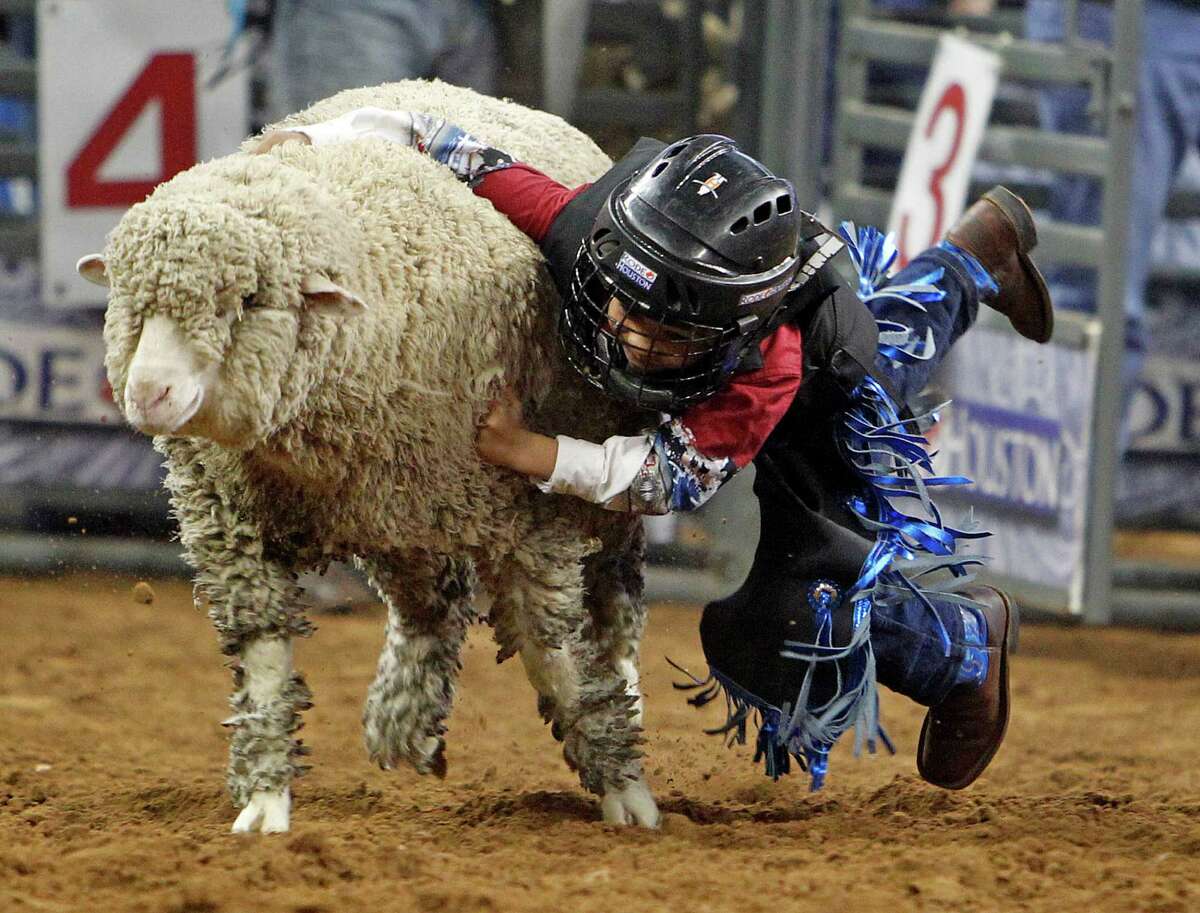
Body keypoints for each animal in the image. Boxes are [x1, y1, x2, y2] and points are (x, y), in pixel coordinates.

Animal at [79, 80, 662, 835]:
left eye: (251, 299)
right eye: (127, 298)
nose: (149, 393)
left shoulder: (527, 524)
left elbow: (555, 655)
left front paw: (625, 786)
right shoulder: (233, 524)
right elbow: (263, 659)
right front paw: (265, 797)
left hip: (570, 511)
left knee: (613, 614)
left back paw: (622, 696)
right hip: (402, 511)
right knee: (431, 606)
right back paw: (403, 722)